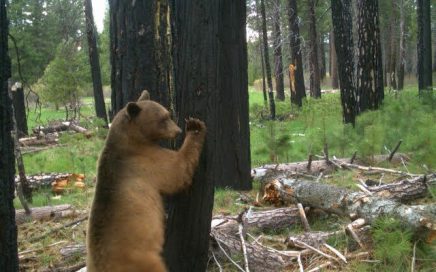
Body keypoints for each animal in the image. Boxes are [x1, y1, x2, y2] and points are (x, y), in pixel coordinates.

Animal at [87, 92, 208, 272]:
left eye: (168, 114)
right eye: (164, 118)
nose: (178, 130)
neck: (131, 141)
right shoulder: (146, 161)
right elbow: (177, 171)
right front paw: (195, 126)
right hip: (146, 261)